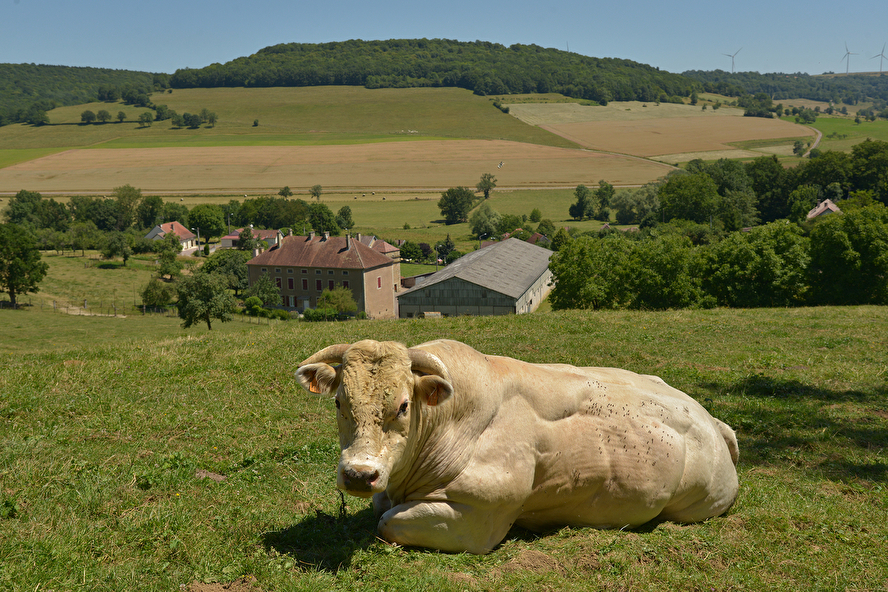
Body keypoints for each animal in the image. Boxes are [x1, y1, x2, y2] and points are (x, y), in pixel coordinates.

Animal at [296, 339, 739, 554]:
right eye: (339, 402)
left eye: (403, 406)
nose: (359, 474)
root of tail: (710, 419)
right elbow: (379, 508)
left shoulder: (478, 519)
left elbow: (386, 522)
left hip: (700, 502)